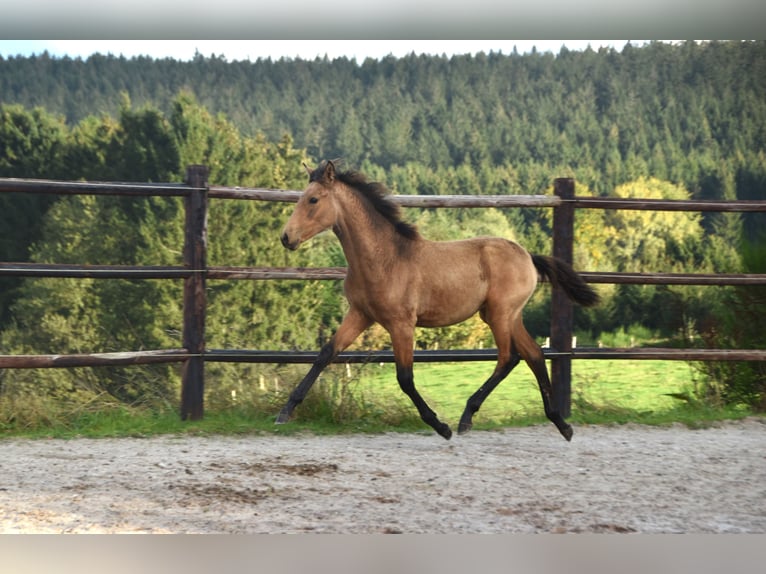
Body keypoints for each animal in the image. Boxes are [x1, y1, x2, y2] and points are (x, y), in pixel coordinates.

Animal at [276, 161, 600, 440]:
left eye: (313, 200)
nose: (286, 237)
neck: (384, 259)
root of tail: (528, 256)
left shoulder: (401, 324)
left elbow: (405, 377)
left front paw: (440, 426)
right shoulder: (360, 314)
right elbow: (325, 353)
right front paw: (284, 412)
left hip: (499, 314)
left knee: (509, 358)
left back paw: (467, 417)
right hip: (507, 315)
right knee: (534, 355)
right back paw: (561, 424)